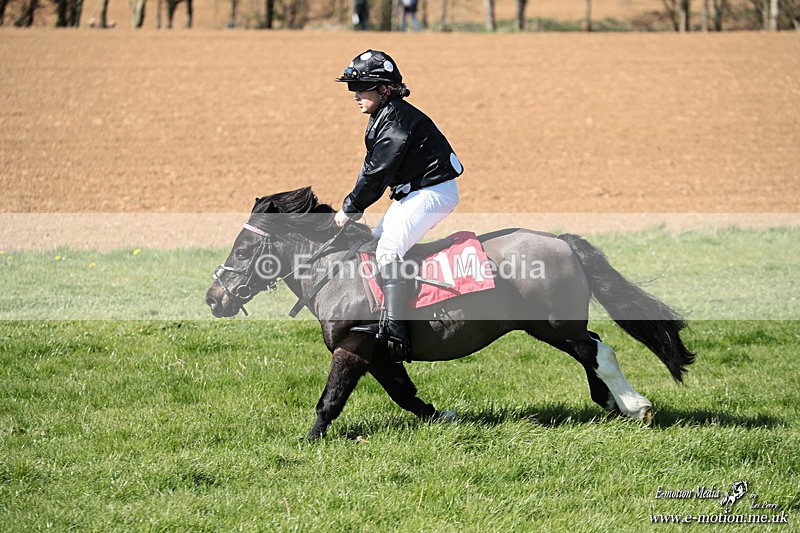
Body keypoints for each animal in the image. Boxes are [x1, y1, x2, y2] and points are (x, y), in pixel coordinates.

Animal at [205, 186, 696, 439]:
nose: (213, 298)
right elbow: (404, 393)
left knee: (599, 352)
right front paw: (441, 416)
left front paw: (309, 441)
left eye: (244, 249)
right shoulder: (378, 353)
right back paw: (611, 403)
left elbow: (330, 399)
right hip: (550, 328)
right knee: (589, 355)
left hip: (558, 324)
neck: (334, 270)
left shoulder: (353, 346)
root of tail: (561, 241)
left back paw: (635, 406)